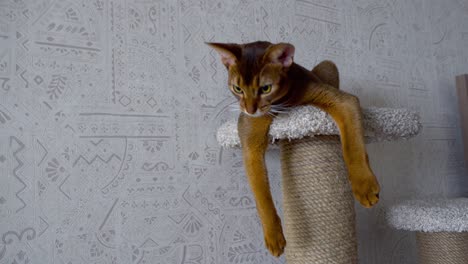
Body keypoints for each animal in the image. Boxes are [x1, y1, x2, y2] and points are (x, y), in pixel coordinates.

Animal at [208, 41, 380, 258]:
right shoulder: (250, 140)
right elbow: (261, 196)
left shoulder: (342, 101)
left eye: (265, 88)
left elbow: (352, 147)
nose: (250, 109)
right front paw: (274, 237)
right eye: (237, 88)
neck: (285, 103)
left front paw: (364, 187)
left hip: (327, 65)